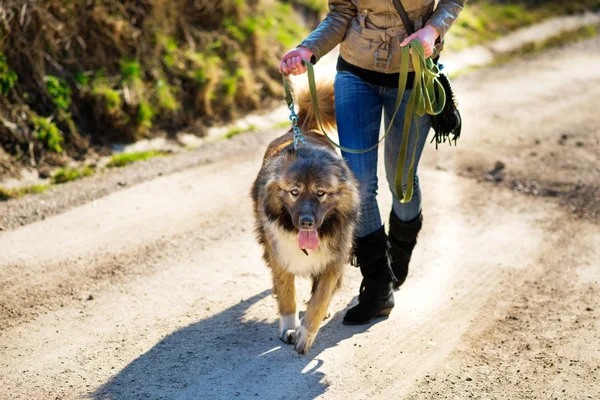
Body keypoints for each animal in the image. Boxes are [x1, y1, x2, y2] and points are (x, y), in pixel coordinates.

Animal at [250, 78, 358, 354]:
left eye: (321, 193)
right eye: (294, 192)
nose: (306, 222)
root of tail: (299, 129)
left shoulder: (333, 261)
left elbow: (320, 298)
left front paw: (306, 333)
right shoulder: (280, 254)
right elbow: (287, 293)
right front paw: (289, 327)